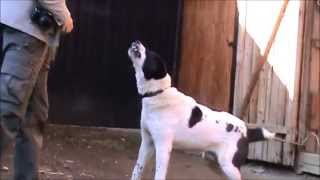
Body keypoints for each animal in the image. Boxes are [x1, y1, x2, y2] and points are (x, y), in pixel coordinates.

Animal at [127, 40, 276, 180]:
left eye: (150, 54)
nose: (136, 41)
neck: (157, 93)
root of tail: (247, 131)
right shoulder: (147, 142)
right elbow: (137, 169)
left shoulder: (163, 147)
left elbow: (159, 174)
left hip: (230, 166)